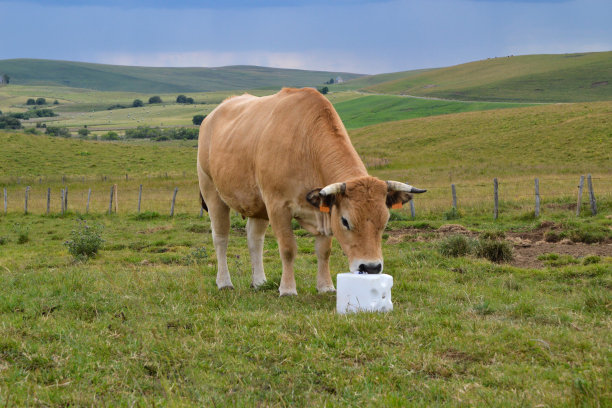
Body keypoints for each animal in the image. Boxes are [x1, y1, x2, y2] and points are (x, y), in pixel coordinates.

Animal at [197, 87, 426, 294]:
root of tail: (213, 114)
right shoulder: (277, 206)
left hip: (256, 204)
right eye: (345, 221)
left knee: (254, 239)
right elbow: (288, 249)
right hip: (212, 192)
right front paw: (288, 288)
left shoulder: (324, 209)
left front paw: (325, 286)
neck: (306, 146)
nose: (371, 268)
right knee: (221, 237)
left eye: (385, 221)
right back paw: (224, 282)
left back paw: (259, 282)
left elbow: (324, 251)